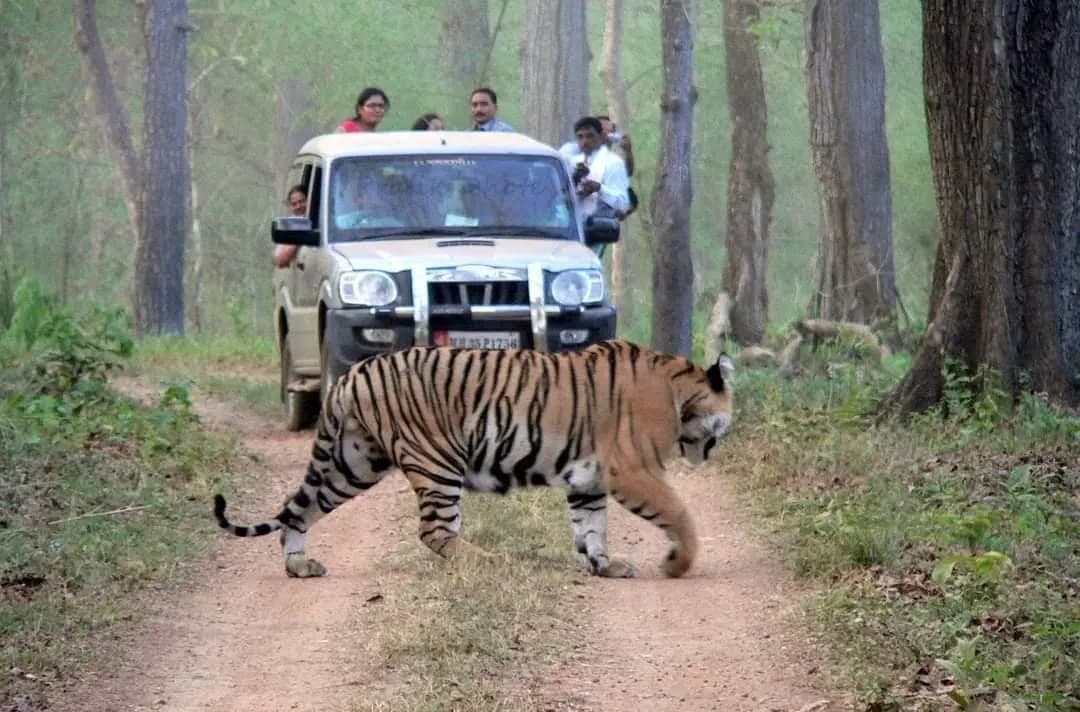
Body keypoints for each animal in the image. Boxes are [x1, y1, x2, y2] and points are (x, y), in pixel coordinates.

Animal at [213, 340, 734, 579]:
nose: (716, 447)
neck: (678, 390)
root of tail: (350, 375)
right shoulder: (632, 470)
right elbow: (678, 513)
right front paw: (677, 563)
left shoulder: (588, 479)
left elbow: (591, 527)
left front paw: (605, 565)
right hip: (436, 459)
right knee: (435, 531)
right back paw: (491, 561)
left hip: (354, 462)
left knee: (296, 510)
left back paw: (300, 565)